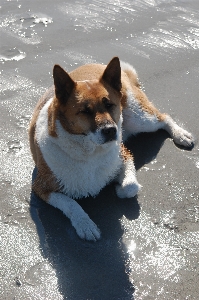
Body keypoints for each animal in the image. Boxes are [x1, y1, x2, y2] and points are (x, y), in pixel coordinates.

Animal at [29, 56, 194, 241]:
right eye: (85, 111)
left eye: (110, 105)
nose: (111, 131)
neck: (90, 151)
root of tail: (99, 64)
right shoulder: (41, 187)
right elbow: (71, 203)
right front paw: (85, 224)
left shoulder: (124, 154)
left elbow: (130, 186)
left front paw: (119, 188)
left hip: (138, 117)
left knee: (164, 117)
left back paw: (181, 134)